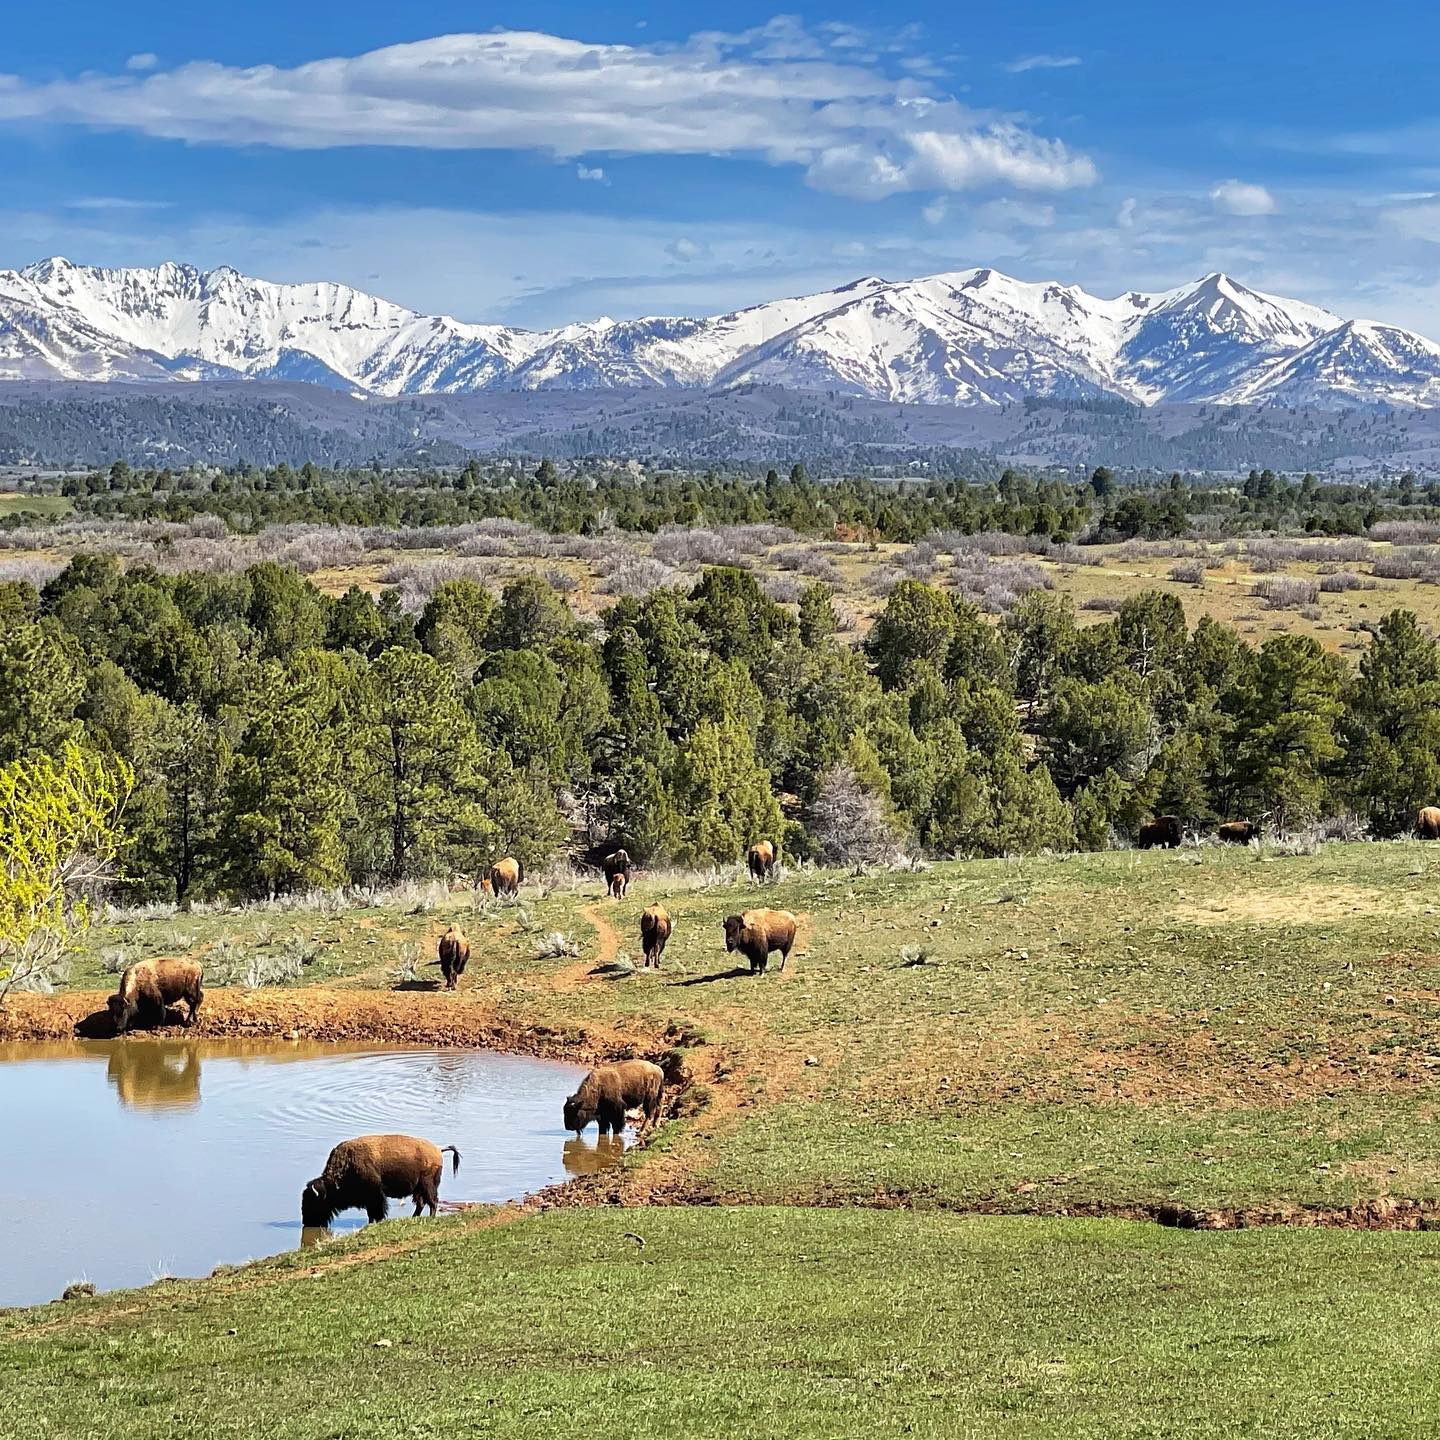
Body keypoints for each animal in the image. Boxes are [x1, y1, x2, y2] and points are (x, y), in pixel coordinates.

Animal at [301, 1134, 461, 1227]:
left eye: (313, 1202)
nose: (306, 1222)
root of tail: (438, 1149)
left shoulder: (375, 1195)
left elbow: (376, 1210)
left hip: (427, 1184)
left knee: (432, 1201)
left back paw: (430, 1217)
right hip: (418, 1188)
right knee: (421, 1203)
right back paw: (414, 1217)